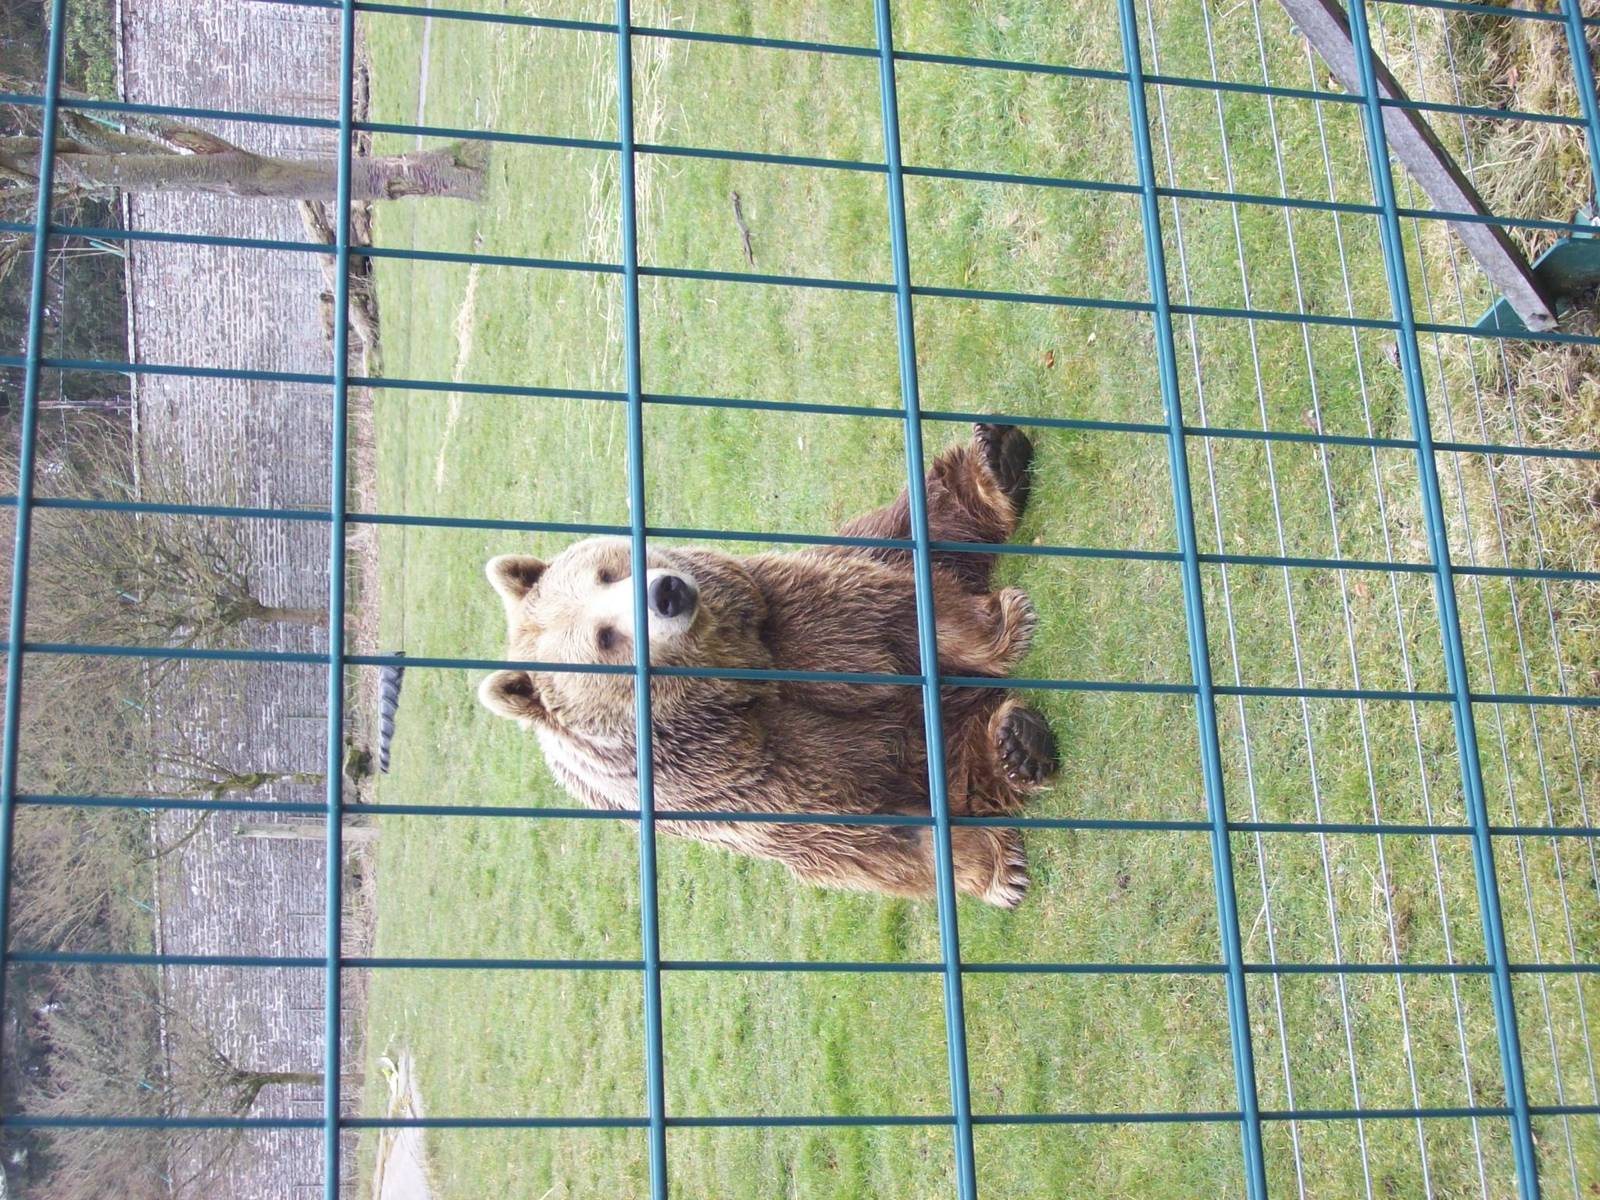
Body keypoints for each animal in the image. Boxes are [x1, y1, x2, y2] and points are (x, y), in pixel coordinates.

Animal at [477, 423, 1058, 907]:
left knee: (918, 518)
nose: (667, 592)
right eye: (605, 639)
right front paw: (999, 871)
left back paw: (995, 462)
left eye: (607, 571)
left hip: (865, 541)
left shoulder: (788, 610)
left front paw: (1004, 627)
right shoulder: (743, 788)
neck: (736, 678)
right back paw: (1014, 745)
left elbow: (895, 614)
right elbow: (865, 835)